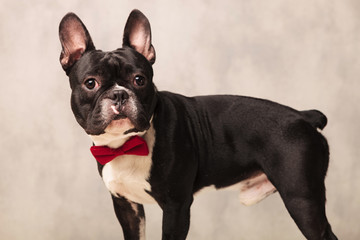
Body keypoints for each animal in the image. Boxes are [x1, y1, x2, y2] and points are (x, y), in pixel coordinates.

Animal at [59, 8, 338, 239]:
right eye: (91, 83)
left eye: (139, 80)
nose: (119, 94)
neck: (127, 144)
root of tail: (303, 116)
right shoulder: (127, 207)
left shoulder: (176, 207)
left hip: (301, 198)